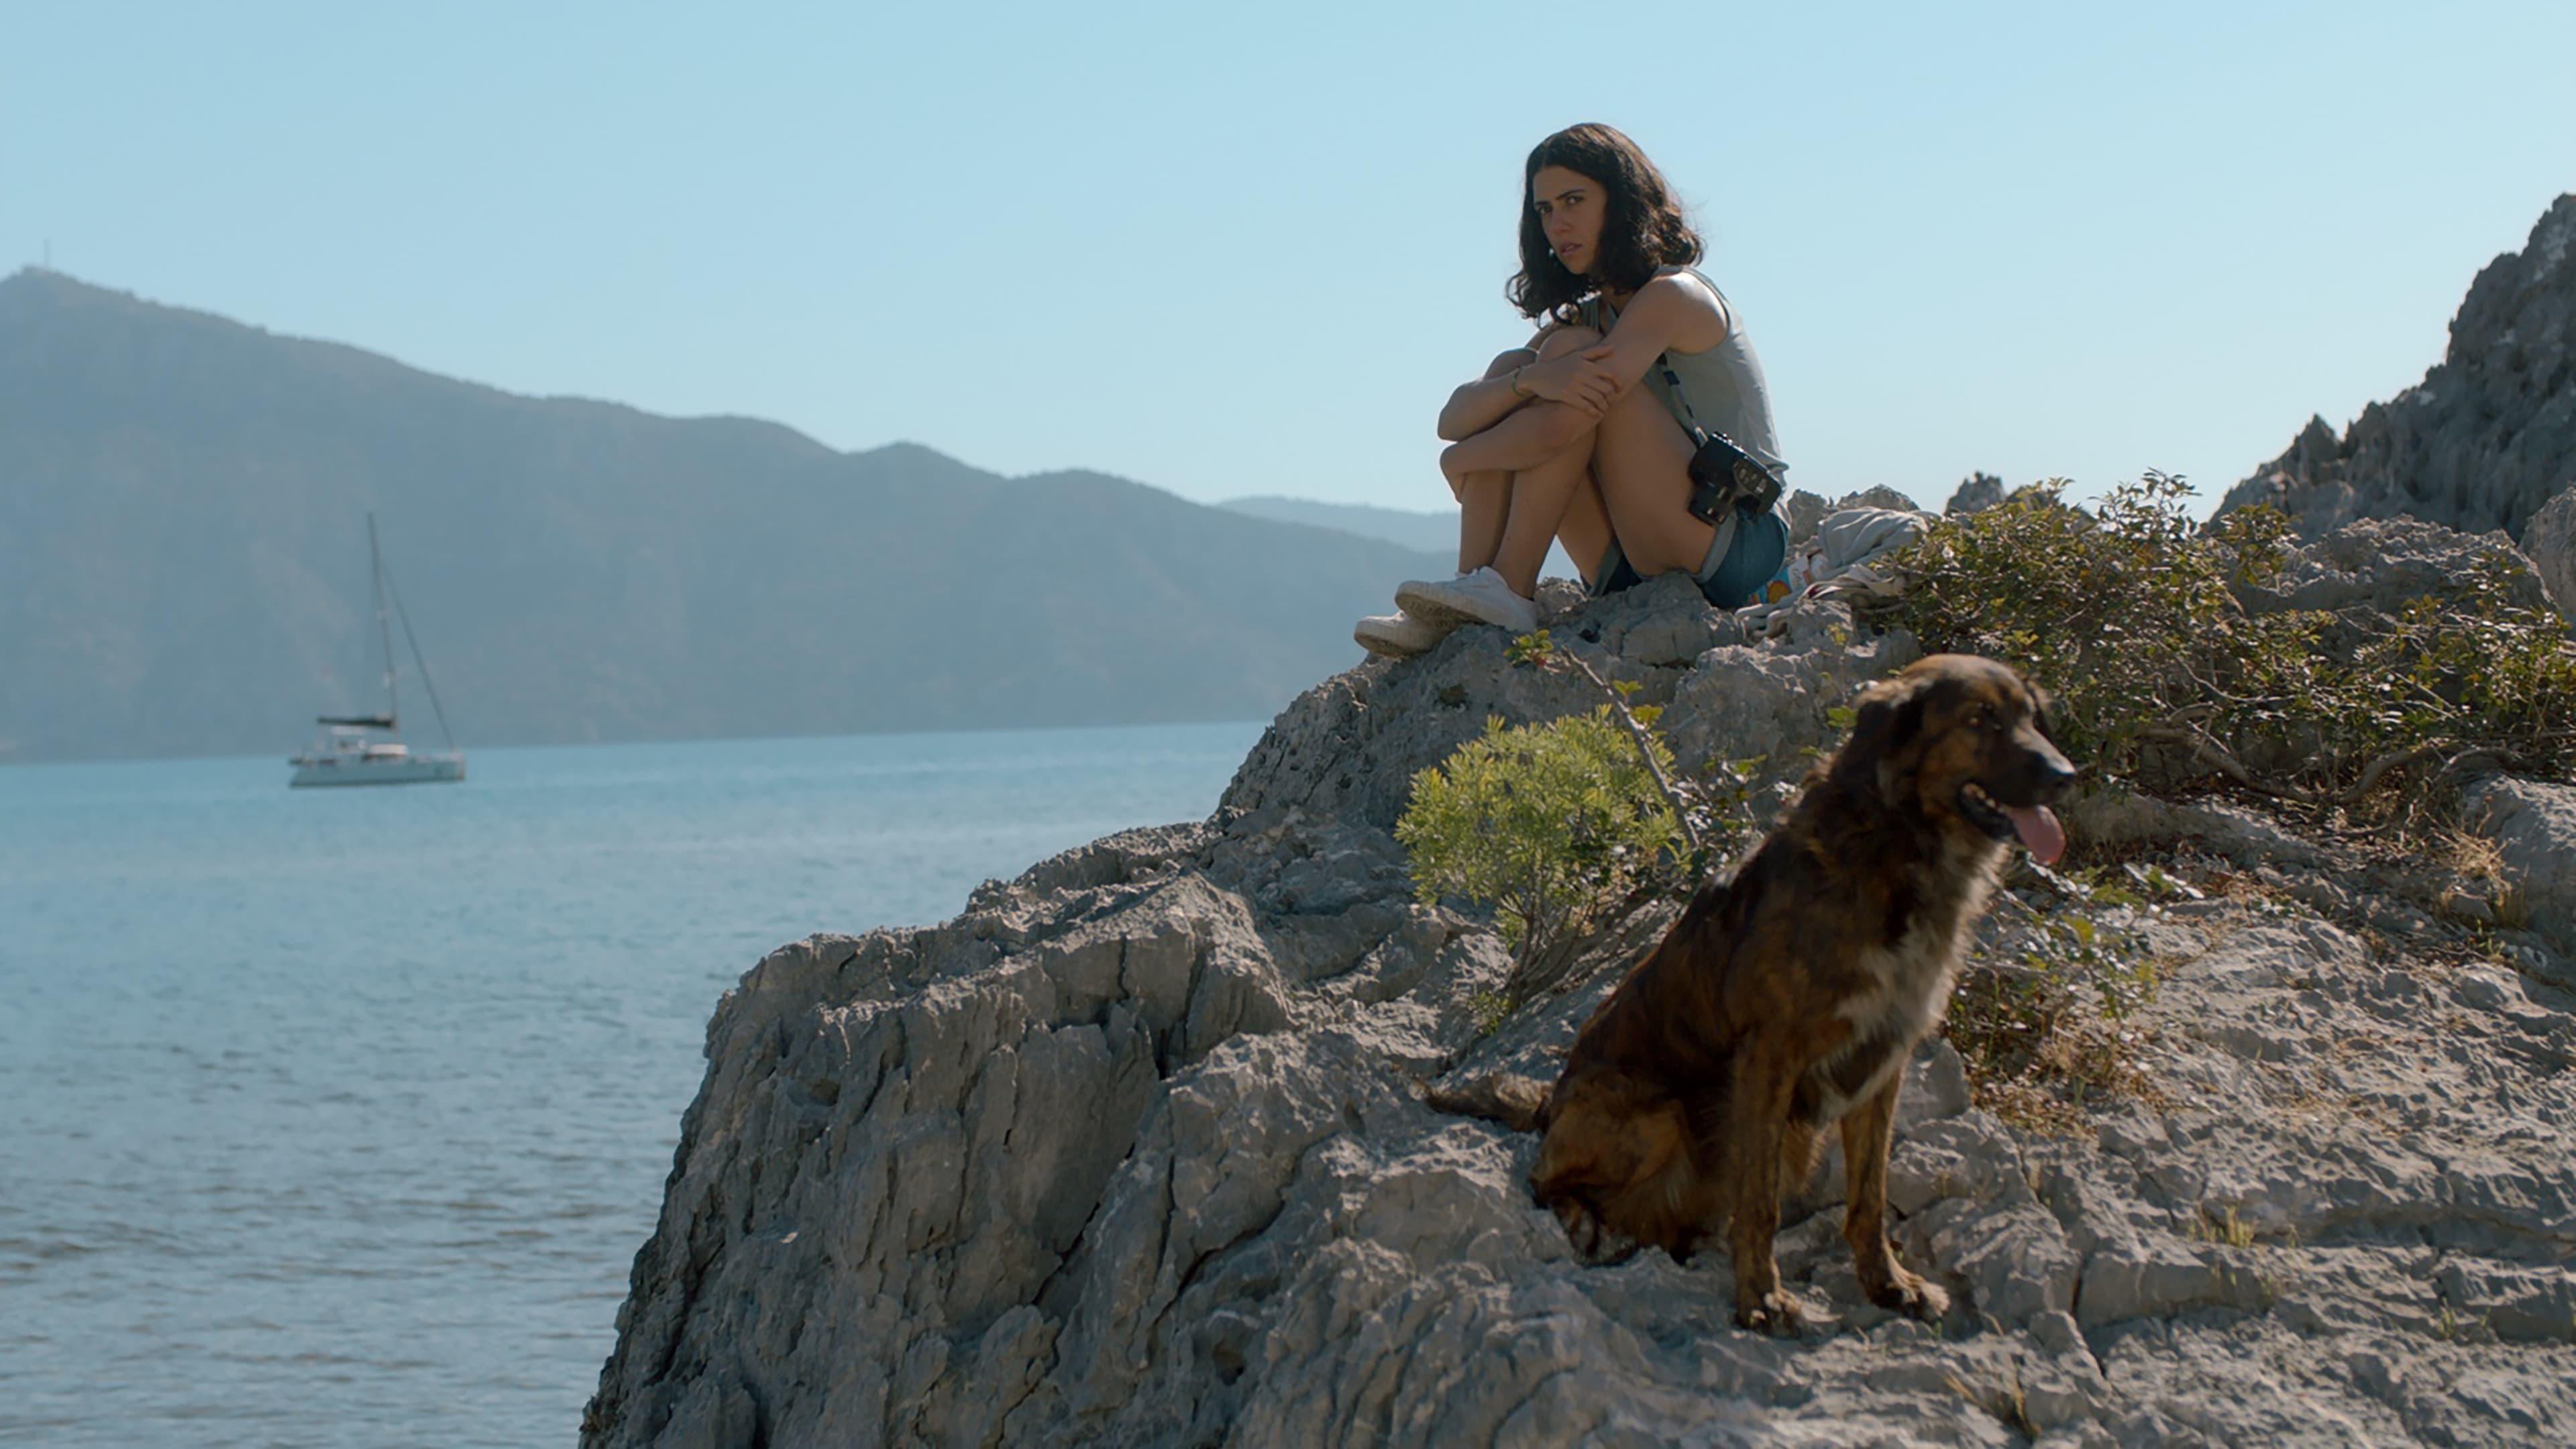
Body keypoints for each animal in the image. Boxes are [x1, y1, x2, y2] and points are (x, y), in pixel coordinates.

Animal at [1432, 655, 2071, 1330]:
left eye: (2031, 716)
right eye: (1981, 718)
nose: (2066, 776)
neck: (1895, 844)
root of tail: (1548, 1107)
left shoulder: (1882, 1060)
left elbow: (1870, 1196)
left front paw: (1889, 1284)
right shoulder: (1770, 1058)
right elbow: (1759, 1202)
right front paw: (1761, 1296)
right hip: (1660, 1114)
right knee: (1544, 1181)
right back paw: (1586, 1220)